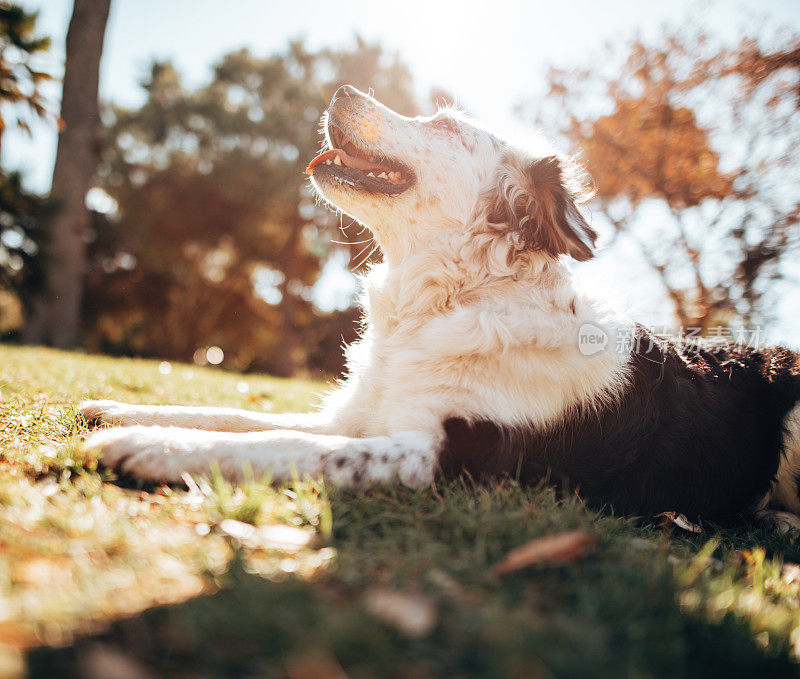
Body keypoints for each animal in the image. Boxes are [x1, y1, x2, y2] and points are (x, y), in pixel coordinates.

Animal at [83, 85, 800, 528]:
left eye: (447, 125)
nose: (342, 91)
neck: (444, 301)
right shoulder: (363, 413)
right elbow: (240, 415)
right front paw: (124, 410)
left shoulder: (456, 457)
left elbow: (290, 445)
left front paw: (151, 445)